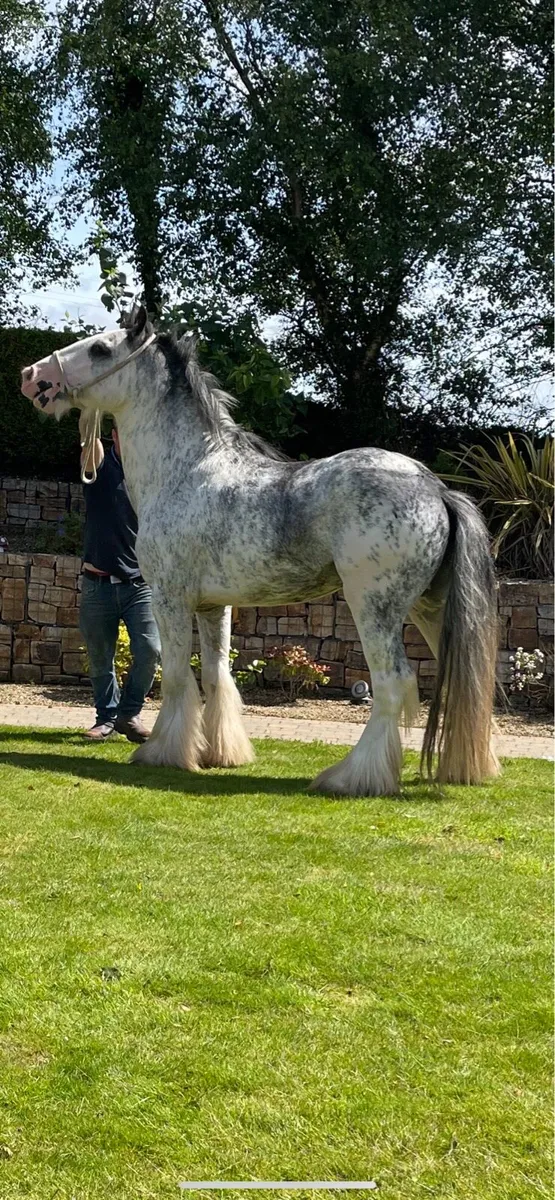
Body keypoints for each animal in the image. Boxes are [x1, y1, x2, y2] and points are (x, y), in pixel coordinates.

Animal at [21, 305, 500, 795]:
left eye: (101, 348)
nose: (31, 376)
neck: (188, 470)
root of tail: (436, 489)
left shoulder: (171, 598)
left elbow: (175, 677)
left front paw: (163, 753)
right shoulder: (213, 607)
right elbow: (216, 676)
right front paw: (219, 753)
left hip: (374, 608)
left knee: (392, 684)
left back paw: (352, 778)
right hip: (430, 609)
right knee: (465, 679)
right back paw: (469, 768)